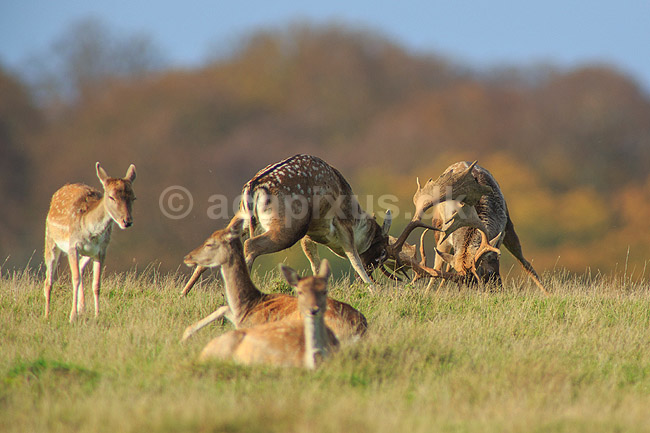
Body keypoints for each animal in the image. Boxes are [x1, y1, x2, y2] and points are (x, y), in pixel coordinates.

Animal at [43, 162, 137, 322]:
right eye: (111, 197)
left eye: (133, 197)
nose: (127, 221)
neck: (90, 231)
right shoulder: (73, 246)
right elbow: (75, 279)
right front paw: (72, 316)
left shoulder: (102, 250)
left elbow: (96, 283)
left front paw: (97, 314)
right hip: (50, 239)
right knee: (49, 280)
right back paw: (47, 315)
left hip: (87, 253)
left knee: (80, 268)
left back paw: (82, 309)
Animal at [180, 154, 434, 295]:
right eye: (382, 253)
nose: (374, 272)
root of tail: (253, 187)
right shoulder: (342, 226)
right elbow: (352, 256)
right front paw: (373, 289)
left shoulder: (309, 235)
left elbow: (315, 262)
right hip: (288, 225)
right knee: (250, 245)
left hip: (243, 215)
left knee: (221, 237)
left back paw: (184, 292)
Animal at [181, 217, 367, 342]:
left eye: (209, 243)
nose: (188, 257)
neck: (250, 303)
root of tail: (360, 328)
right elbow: (223, 308)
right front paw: (187, 333)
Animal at [412, 161, 548, 295]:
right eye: (461, 284)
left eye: (487, 273)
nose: (498, 289)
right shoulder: (444, 238)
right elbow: (437, 269)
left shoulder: (501, 234)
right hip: (438, 226)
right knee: (441, 267)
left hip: (509, 227)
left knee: (523, 261)